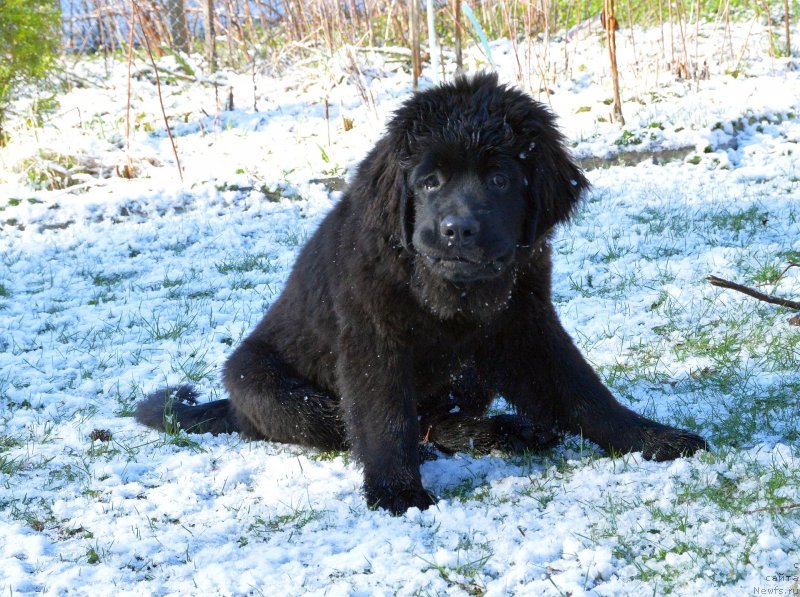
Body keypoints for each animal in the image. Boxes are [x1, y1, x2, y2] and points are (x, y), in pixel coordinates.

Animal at [138, 73, 708, 512]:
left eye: (501, 179)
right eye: (429, 181)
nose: (457, 230)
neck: (448, 290)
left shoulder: (525, 325)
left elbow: (583, 392)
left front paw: (651, 438)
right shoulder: (373, 338)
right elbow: (385, 417)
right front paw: (397, 494)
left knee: (438, 419)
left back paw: (508, 432)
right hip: (260, 378)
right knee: (344, 422)